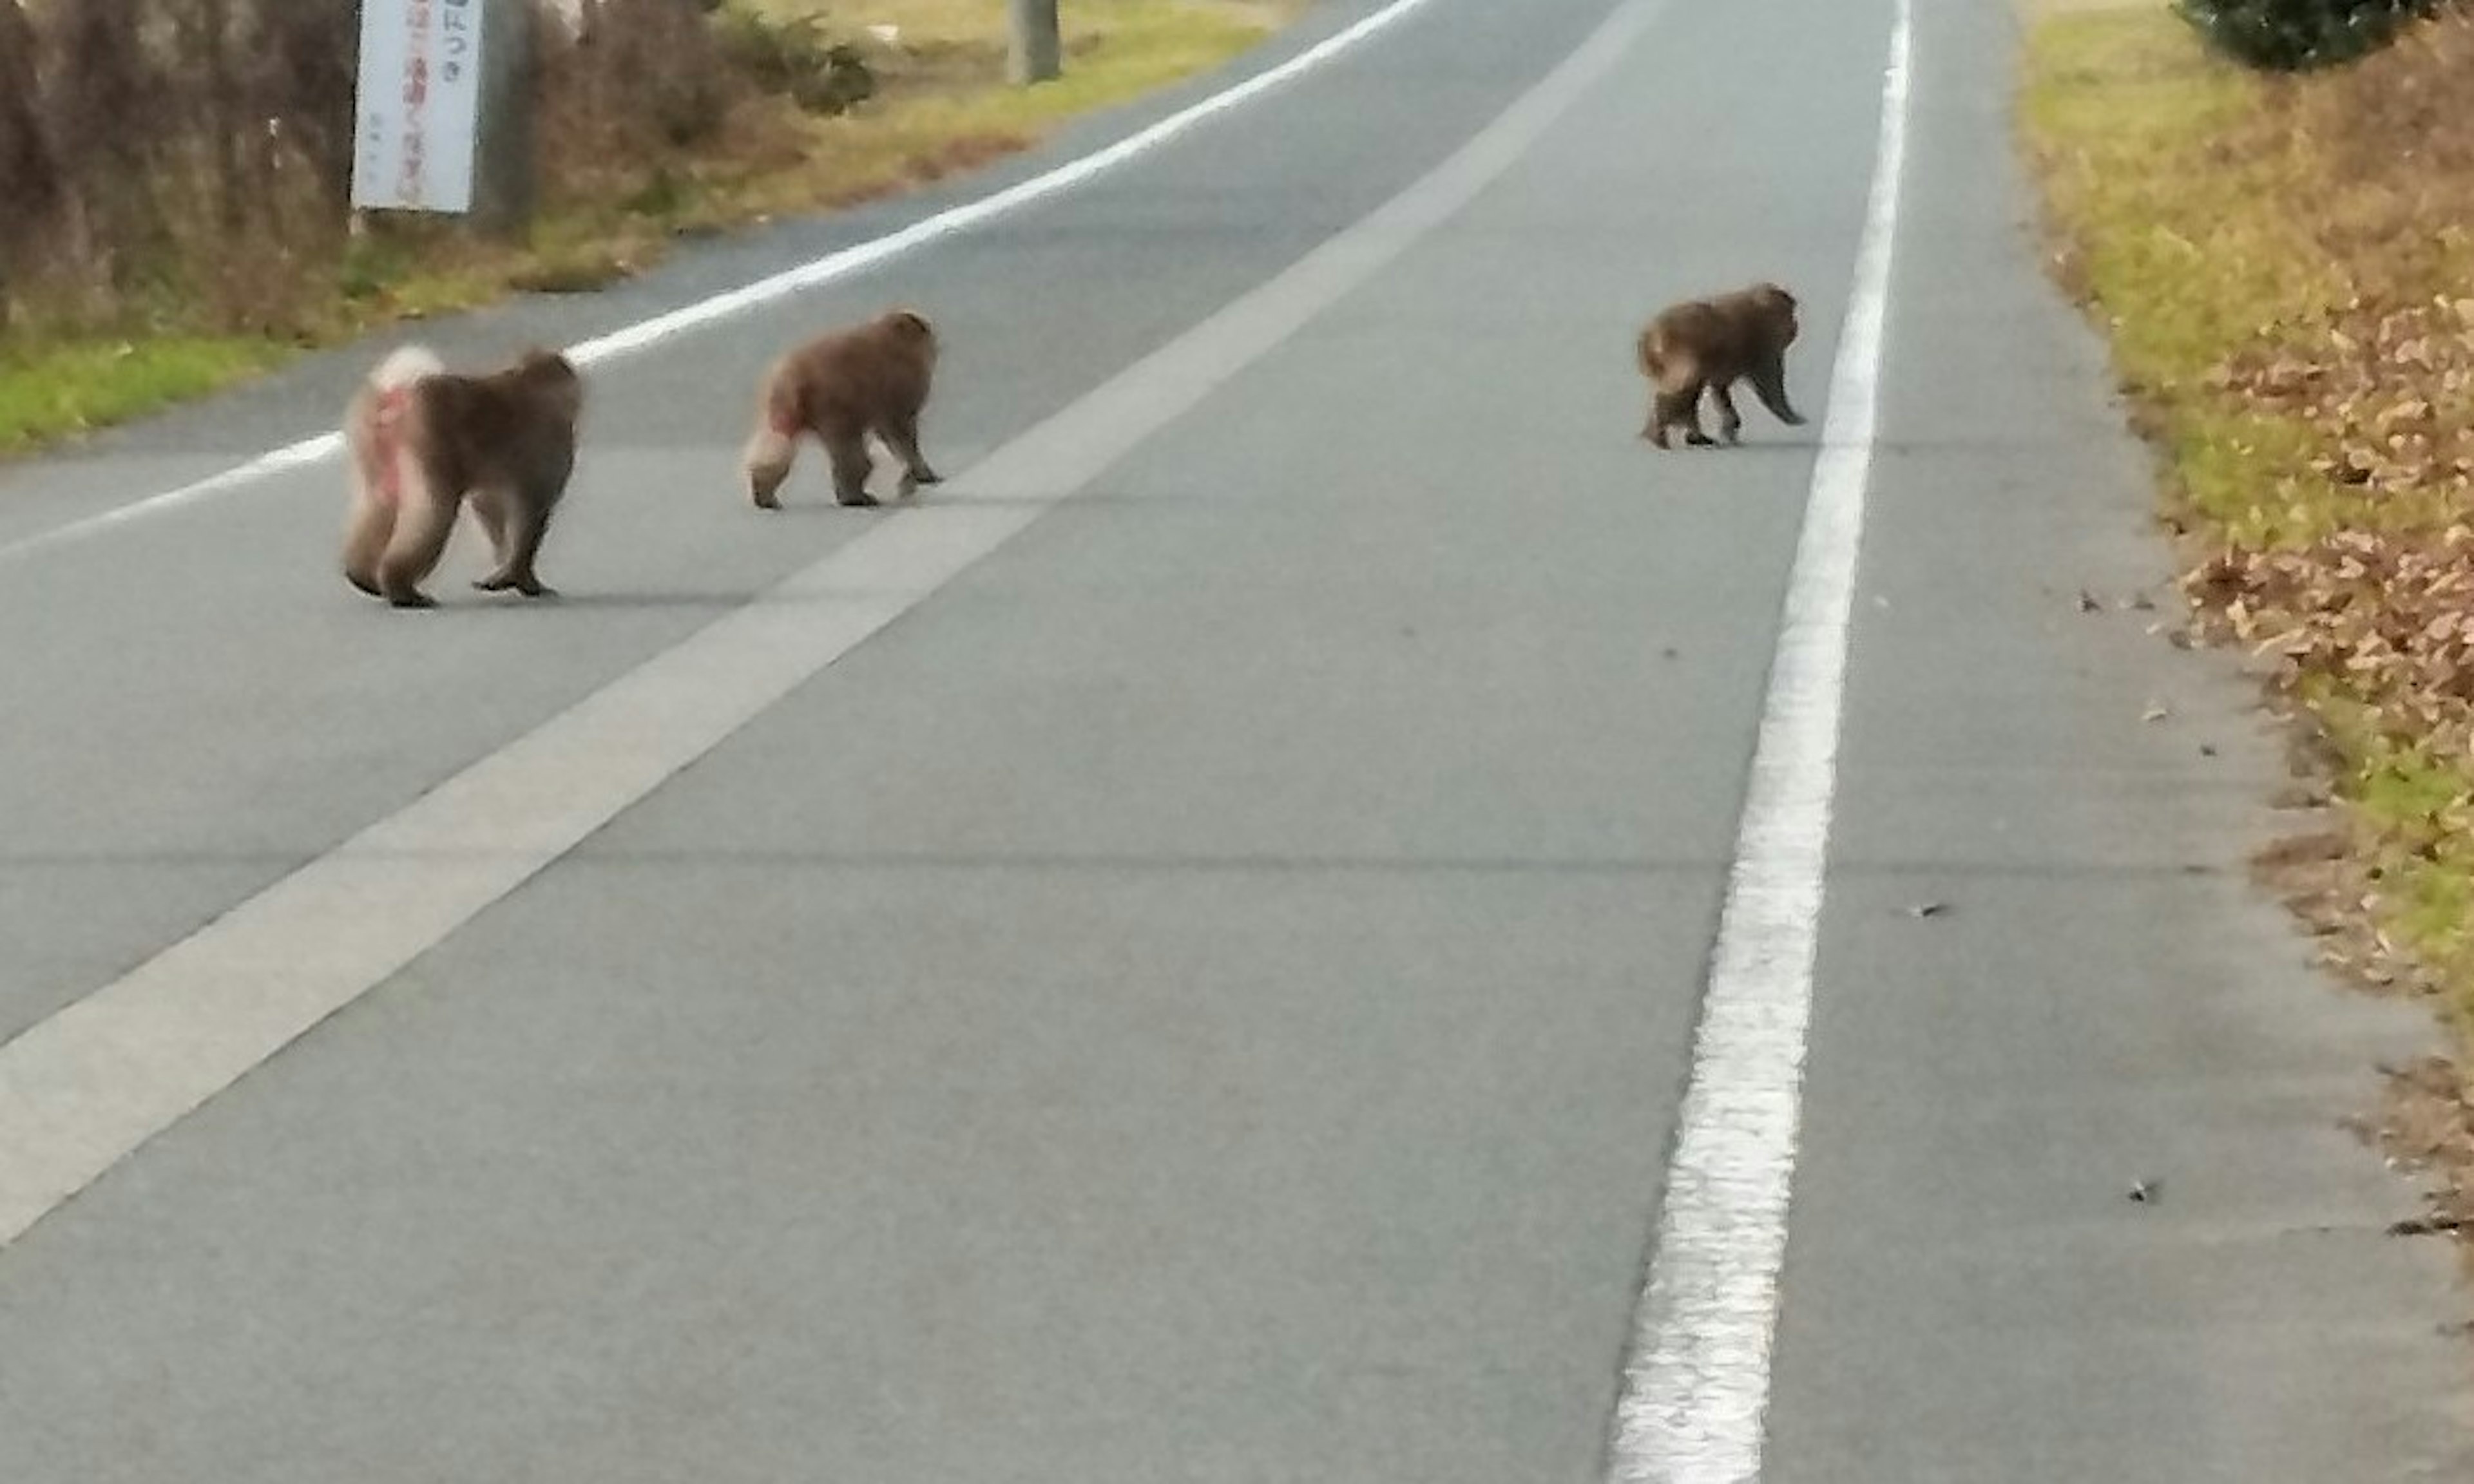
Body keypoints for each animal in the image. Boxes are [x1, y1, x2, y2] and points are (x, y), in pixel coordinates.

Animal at [343, 343, 584, 605]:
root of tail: (397, 392)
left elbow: (490, 507)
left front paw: (503, 572)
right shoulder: (551, 443)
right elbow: (531, 512)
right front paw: (524, 579)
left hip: (370, 439)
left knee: (381, 501)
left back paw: (362, 577)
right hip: (429, 438)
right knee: (436, 510)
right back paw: (401, 589)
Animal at [737, 307, 940, 509]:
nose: (933, 338)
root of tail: (789, 378)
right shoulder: (900, 387)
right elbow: (901, 432)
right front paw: (923, 474)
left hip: (786, 412)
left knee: (776, 443)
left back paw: (765, 495)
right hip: (833, 405)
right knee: (851, 453)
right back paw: (856, 496)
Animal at [1633, 280, 1810, 450]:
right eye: (1792, 315)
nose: (1794, 326)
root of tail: (1650, 337)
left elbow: (1720, 388)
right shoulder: (1761, 342)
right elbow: (1768, 381)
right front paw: (1794, 416)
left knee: (1688, 390)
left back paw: (1689, 435)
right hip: (1680, 352)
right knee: (1684, 387)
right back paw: (1663, 434)